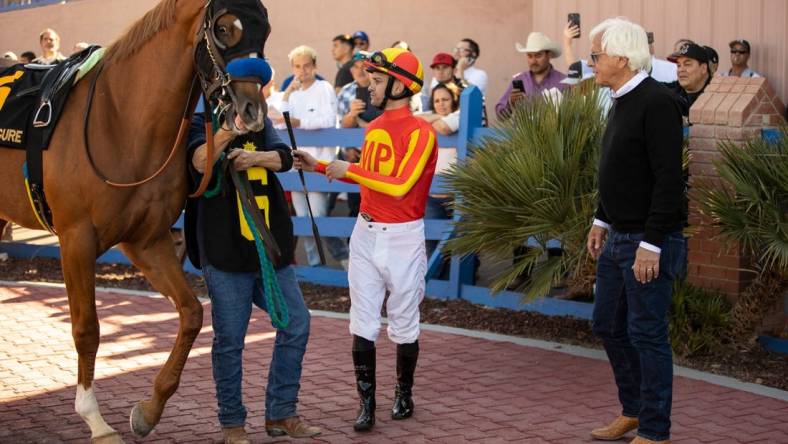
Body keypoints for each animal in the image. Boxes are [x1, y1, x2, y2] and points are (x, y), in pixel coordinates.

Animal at [0, 0, 274, 440]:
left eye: (264, 30)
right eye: (223, 28)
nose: (252, 111)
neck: (119, 119)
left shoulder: (147, 240)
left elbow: (192, 313)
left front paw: (149, 410)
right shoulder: (76, 240)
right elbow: (87, 329)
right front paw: (95, 420)